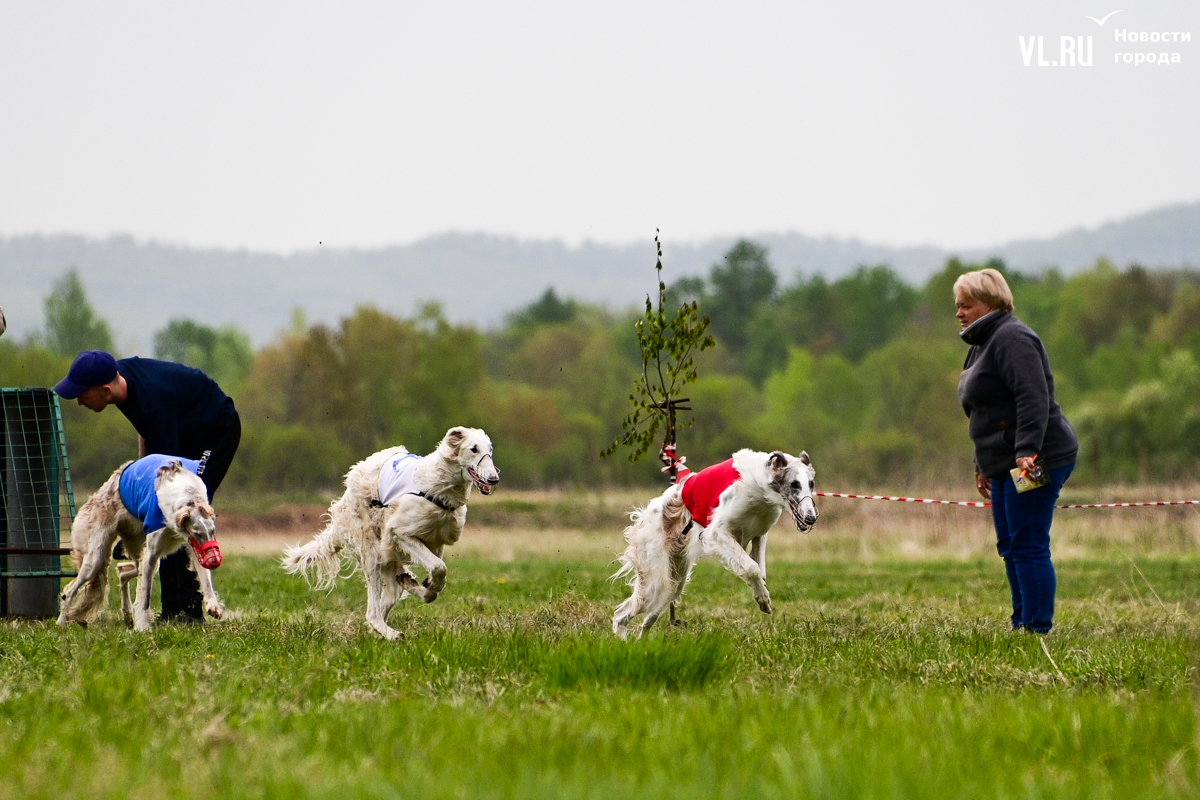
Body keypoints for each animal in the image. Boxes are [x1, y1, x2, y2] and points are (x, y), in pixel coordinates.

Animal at [283, 429, 499, 642]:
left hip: (389, 560)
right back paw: (392, 634)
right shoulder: (398, 532)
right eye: (473, 449)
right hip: (371, 549)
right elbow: (439, 568)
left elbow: (435, 579)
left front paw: (426, 586)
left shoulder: (435, 541)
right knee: (372, 612)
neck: (438, 485)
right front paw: (429, 585)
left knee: (387, 598)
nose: (494, 479)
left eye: (489, 449)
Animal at [614, 443, 820, 638]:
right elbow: (752, 568)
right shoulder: (716, 533)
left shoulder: (759, 534)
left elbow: (760, 572)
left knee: (646, 619)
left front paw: (761, 594)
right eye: (794, 484)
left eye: (811, 484)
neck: (757, 484)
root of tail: (650, 512)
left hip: (674, 581)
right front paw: (764, 600)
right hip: (656, 576)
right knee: (619, 615)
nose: (811, 518)